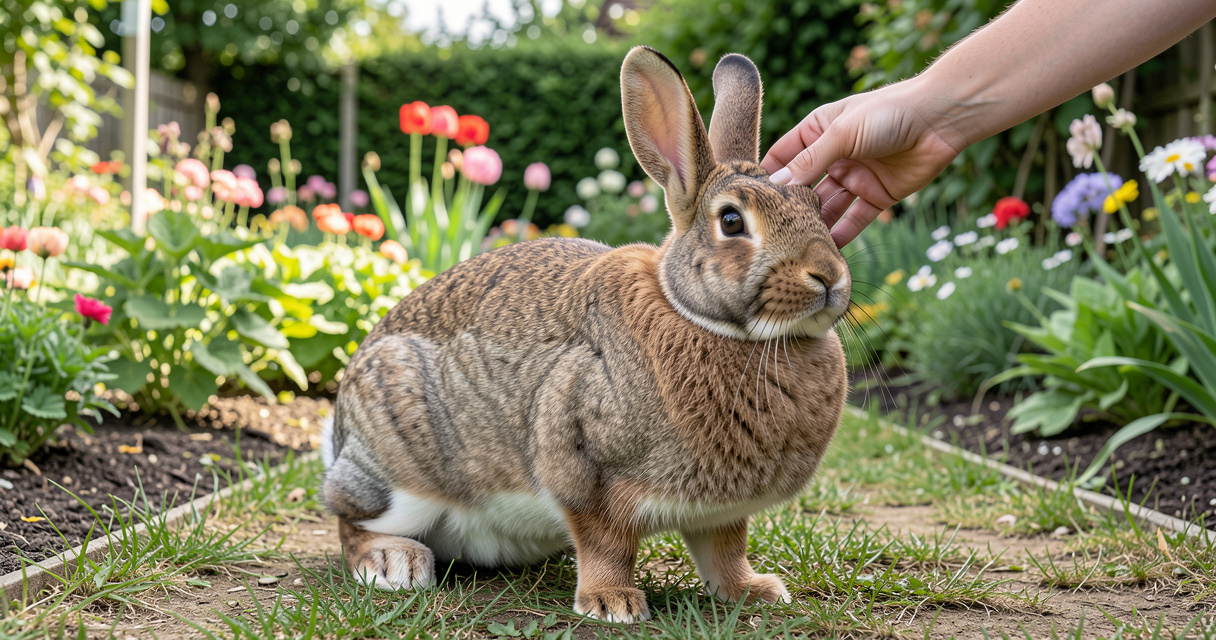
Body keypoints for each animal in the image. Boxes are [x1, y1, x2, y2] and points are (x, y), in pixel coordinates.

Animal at [320, 45, 850, 623]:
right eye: (732, 221)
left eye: (818, 207)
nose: (829, 277)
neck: (700, 318)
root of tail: (340, 432)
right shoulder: (581, 463)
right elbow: (605, 542)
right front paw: (612, 602)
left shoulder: (723, 513)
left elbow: (725, 551)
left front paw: (754, 591)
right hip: (400, 465)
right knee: (348, 520)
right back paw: (394, 563)